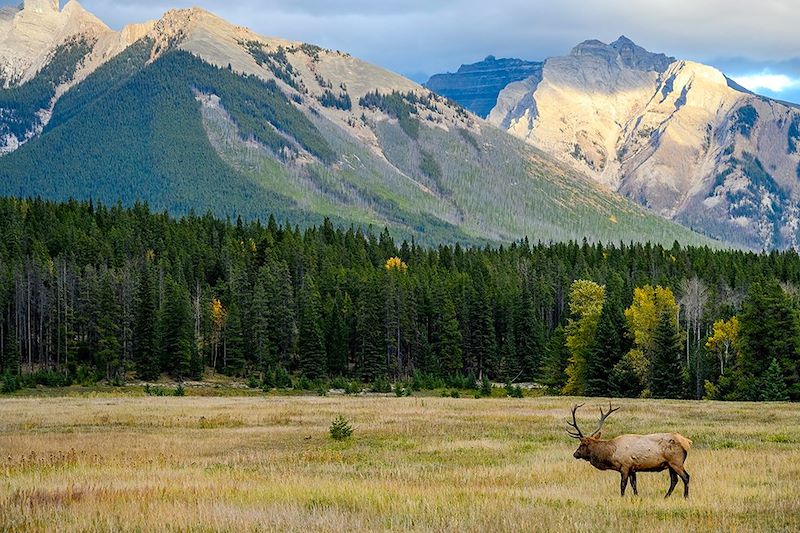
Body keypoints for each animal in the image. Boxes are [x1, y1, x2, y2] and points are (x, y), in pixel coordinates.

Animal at [564, 406, 692, 496]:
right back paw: (666, 496)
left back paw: (685, 496)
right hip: (670, 465)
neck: (611, 455)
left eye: (582, 444)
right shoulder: (632, 468)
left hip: (676, 462)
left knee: (686, 477)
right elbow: (634, 485)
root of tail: (687, 442)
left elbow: (623, 485)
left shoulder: (625, 466)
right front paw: (636, 496)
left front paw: (622, 497)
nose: (575, 454)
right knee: (674, 480)